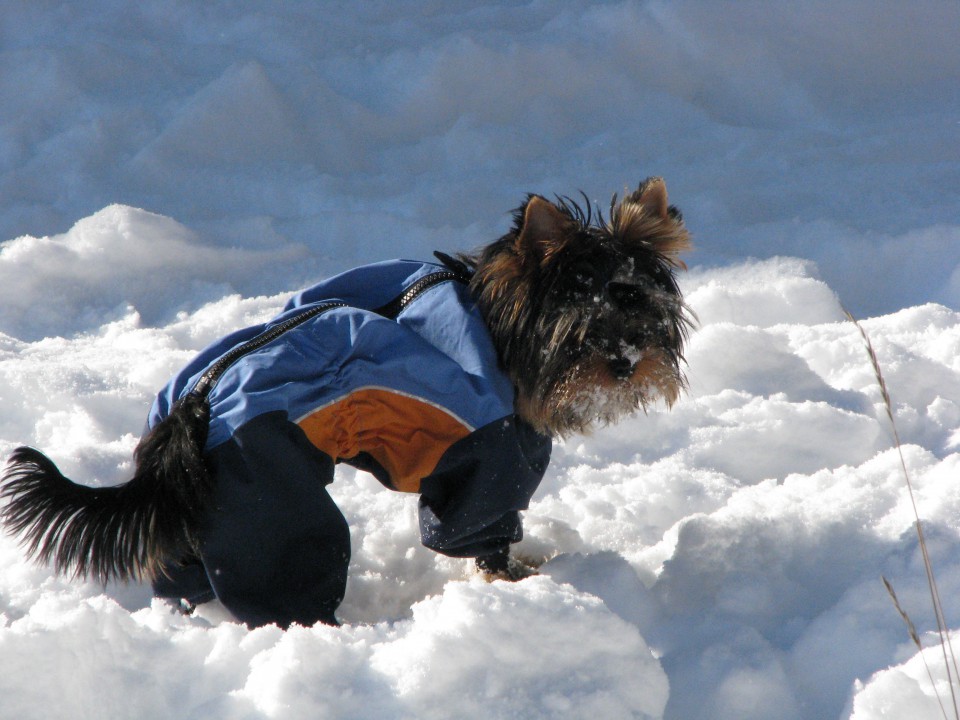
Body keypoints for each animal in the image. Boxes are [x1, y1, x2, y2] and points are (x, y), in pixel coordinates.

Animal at [0, 177, 688, 628]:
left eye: (645, 314)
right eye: (580, 332)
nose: (626, 364)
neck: (497, 330)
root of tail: (186, 420)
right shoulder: (489, 458)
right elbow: (478, 528)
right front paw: (513, 580)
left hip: (197, 519)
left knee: (185, 575)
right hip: (268, 504)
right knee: (291, 574)